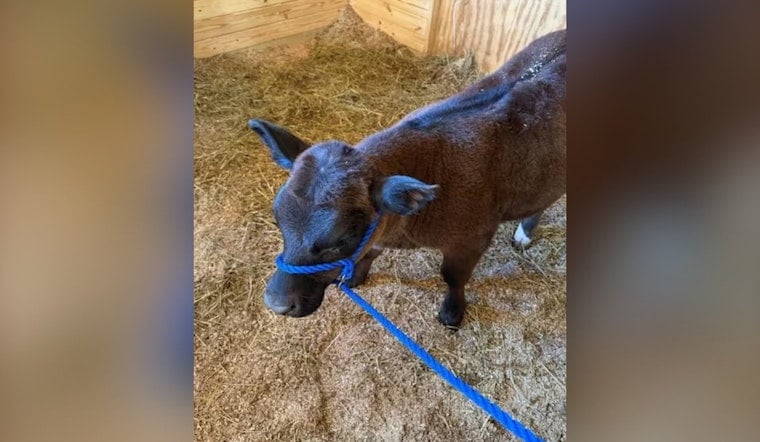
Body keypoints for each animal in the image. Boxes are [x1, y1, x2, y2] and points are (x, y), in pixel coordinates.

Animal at [248, 29, 566, 327]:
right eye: (279, 221)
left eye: (342, 239)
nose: (277, 304)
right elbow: (370, 252)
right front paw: (356, 276)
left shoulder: (473, 238)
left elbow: (453, 277)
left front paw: (452, 313)